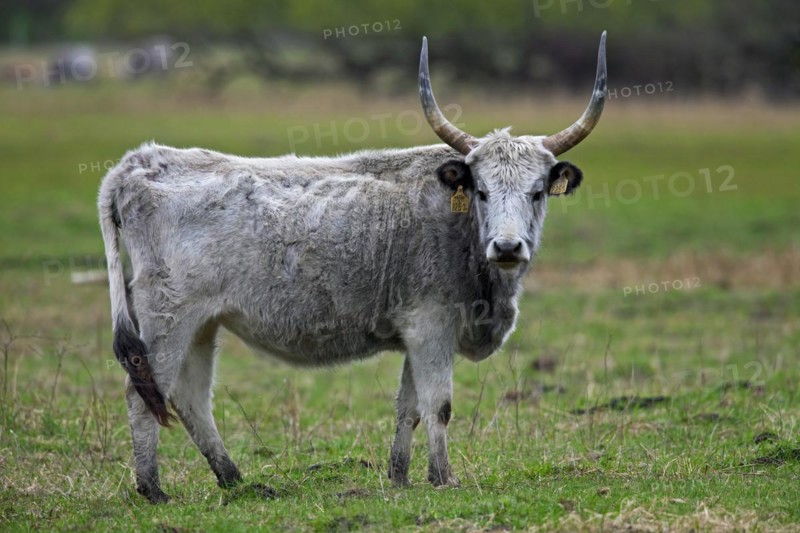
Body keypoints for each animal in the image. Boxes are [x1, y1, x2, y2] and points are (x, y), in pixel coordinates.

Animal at [99, 33, 607, 503]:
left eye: (537, 192)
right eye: (480, 190)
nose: (506, 245)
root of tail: (137, 164)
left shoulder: (415, 335)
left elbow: (408, 408)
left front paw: (399, 477)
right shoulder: (432, 328)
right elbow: (438, 405)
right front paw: (443, 478)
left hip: (202, 325)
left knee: (190, 399)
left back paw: (236, 480)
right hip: (167, 320)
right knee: (142, 394)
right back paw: (153, 489)